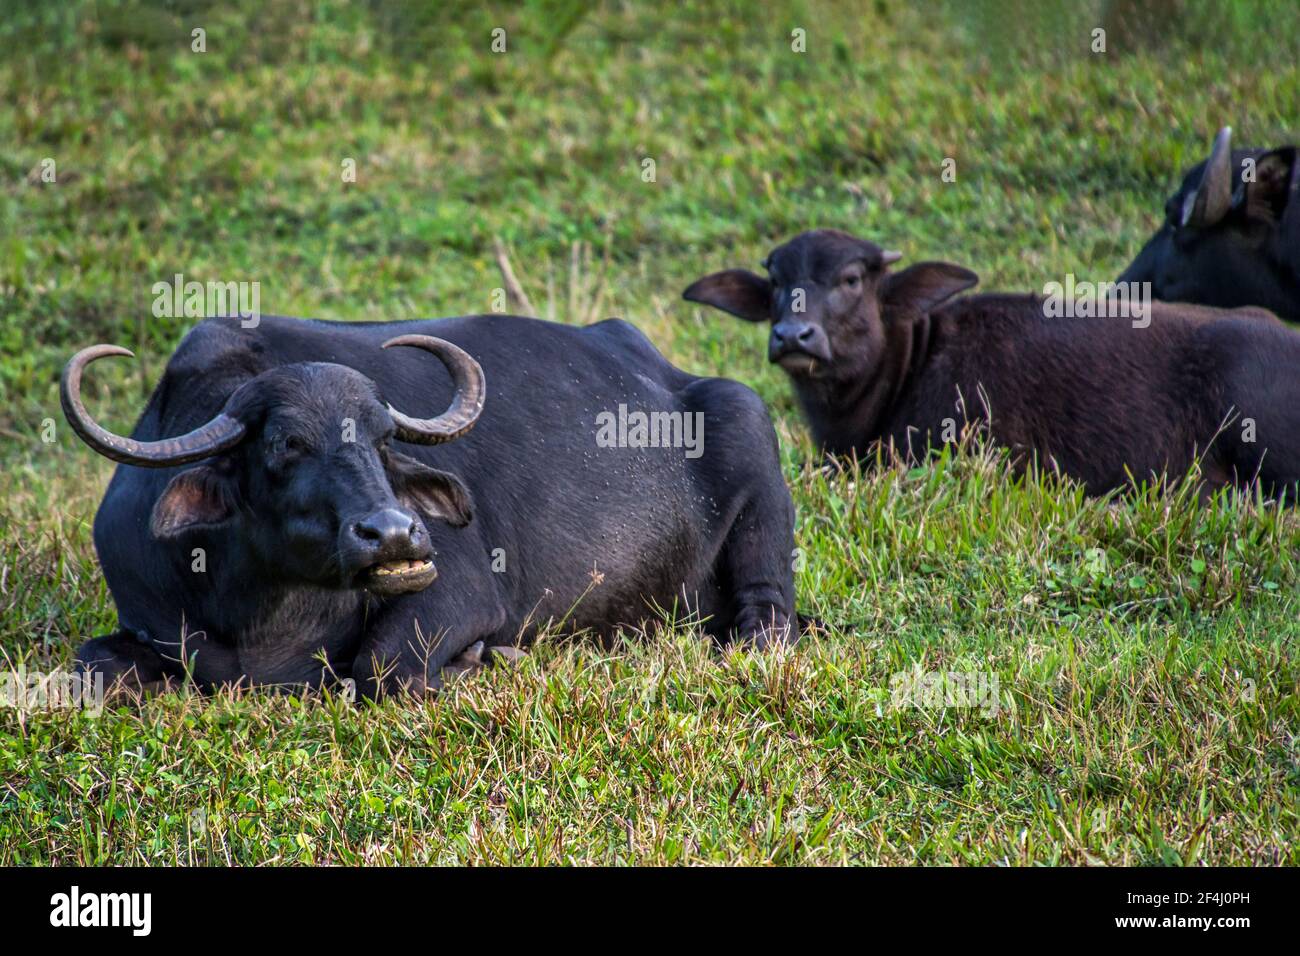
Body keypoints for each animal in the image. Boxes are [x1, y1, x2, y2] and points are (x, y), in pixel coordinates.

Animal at [68, 314, 800, 697]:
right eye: (285, 444)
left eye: (381, 438)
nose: (394, 535)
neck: (261, 614)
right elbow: (89, 664)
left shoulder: (463, 593)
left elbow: (382, 667)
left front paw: (488, 659)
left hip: (749, 429)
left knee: (768, 617)